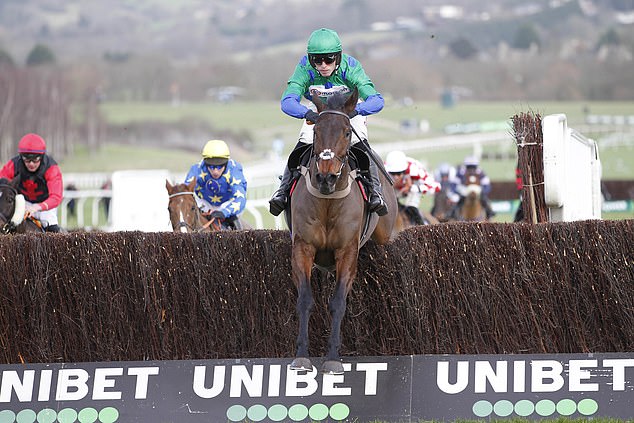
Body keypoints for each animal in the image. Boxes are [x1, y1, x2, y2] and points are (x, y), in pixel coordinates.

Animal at [286, 88, 398, 374]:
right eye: (316, 131)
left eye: (347, 132)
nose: (326, 176)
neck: (328, 199)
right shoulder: (302, 248)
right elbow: (305, 299)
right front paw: (301, 356)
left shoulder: (347, 251)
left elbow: (337, 303)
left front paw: (333, 358)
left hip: (384, 235)